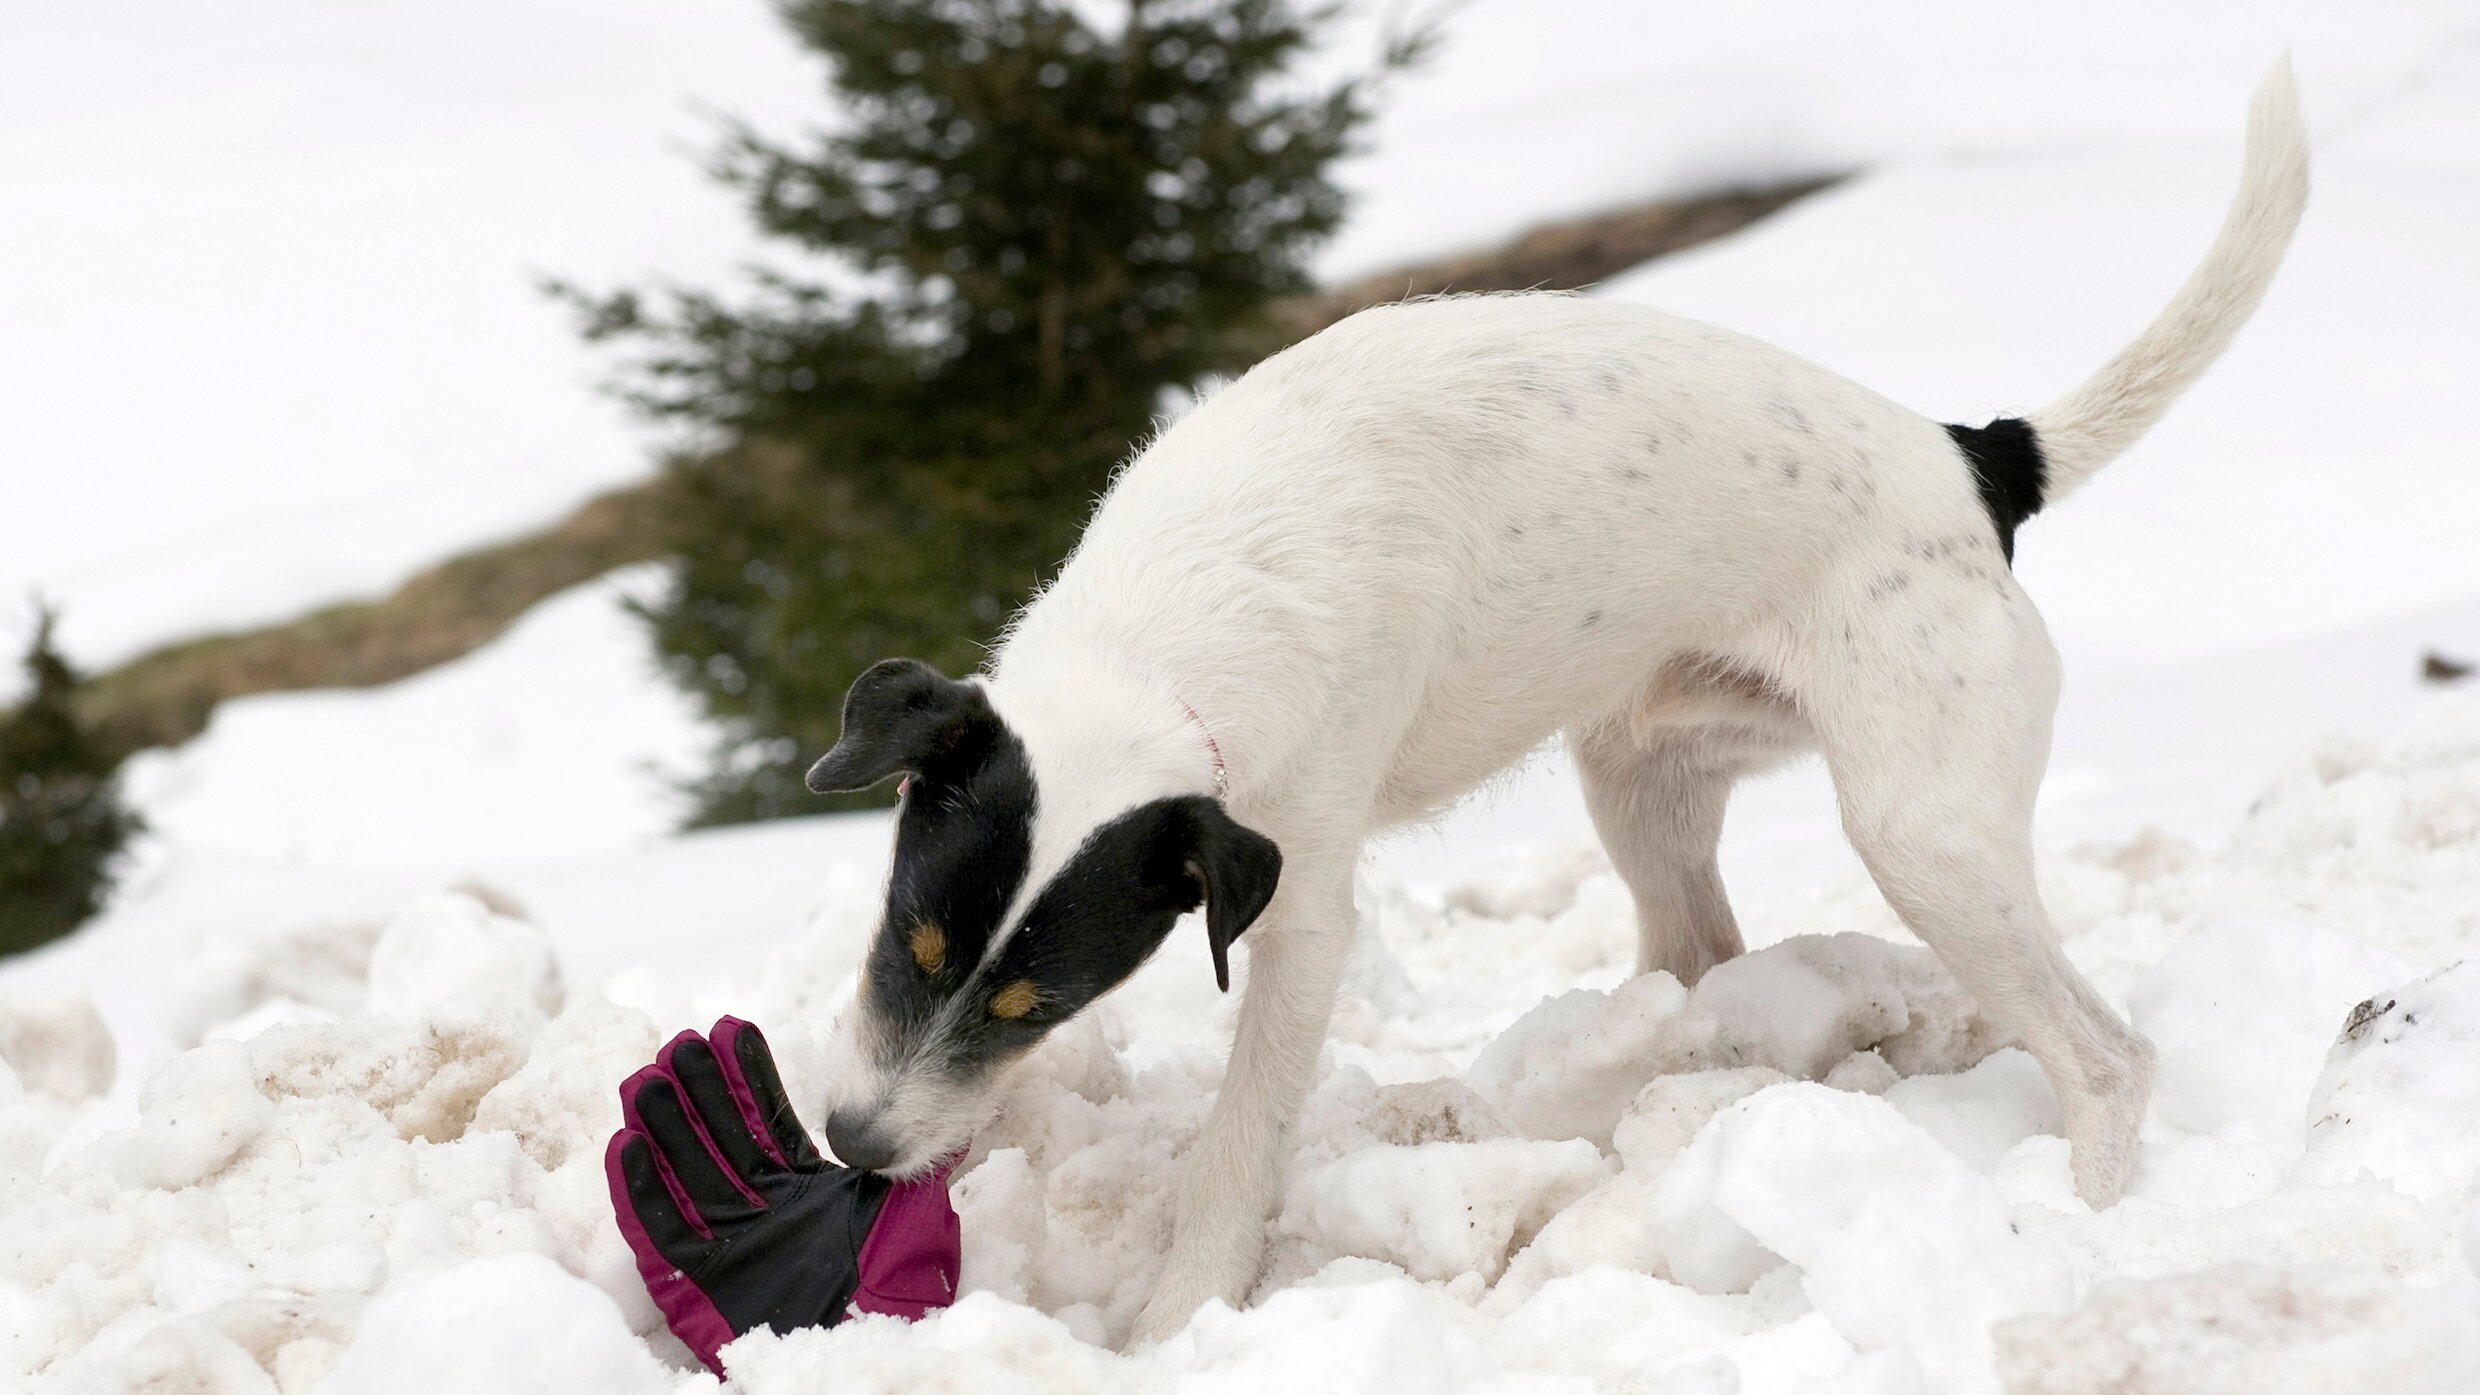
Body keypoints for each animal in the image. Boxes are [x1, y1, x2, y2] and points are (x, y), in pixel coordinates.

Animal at [798, 62, 2301, 1340]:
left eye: (1032, 1001)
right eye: (905, 941)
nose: (854, 1144)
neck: (1169, 637)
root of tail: (1972, 459)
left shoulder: (1304, 911)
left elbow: (1239, 1142)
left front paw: (1180, 1324)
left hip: (1922, 829)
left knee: (2107, 1058)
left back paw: (2074, 1223)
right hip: (1641, 778)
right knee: (1700, 945)